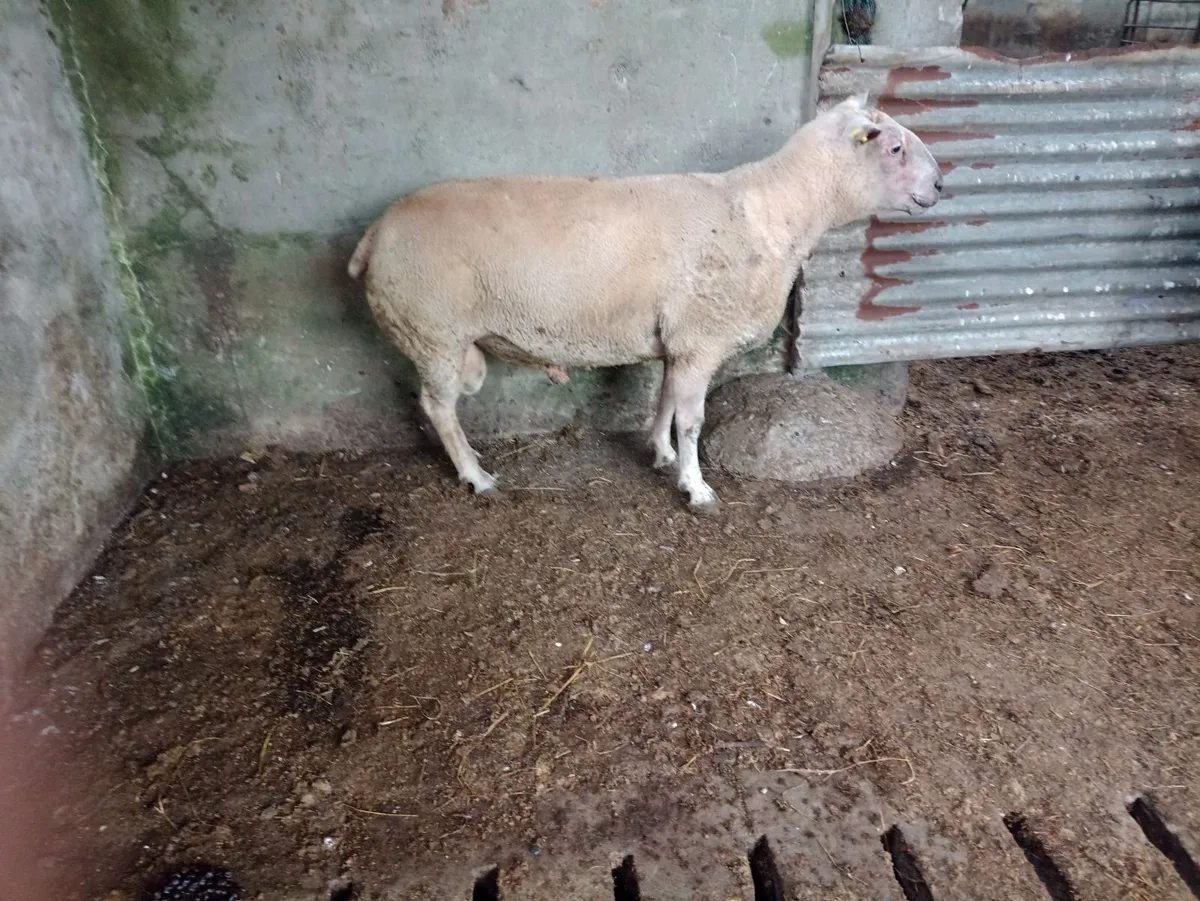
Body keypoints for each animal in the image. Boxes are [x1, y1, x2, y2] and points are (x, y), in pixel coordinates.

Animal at [348, 94, 942, 512]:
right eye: (894, 148)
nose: (940, 185)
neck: (773, 213)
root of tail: (374, 236)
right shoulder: (702, 336)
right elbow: (693, 420)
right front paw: (696, 488)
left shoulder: (677, 338)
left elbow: (665, 402)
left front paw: (661, 453)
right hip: (434, 331)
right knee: (438, 408)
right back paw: (475, 475)